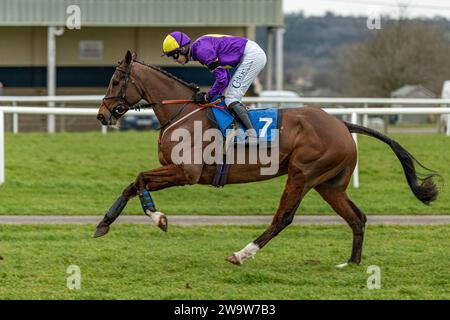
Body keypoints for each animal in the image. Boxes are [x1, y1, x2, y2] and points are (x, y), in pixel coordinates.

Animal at [96, 51, 440, 268]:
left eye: (115, 81)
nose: (102, 115)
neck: (182, 112)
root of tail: (342, 124)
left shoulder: (186, 172)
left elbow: (140, 178)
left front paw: (159, 218)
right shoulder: (174, 170)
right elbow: (131, 185)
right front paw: (103, 223)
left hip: (303, 174)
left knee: (283, 218)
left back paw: (241, 254)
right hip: (329, 185)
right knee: (357, 217)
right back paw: (352, 262)